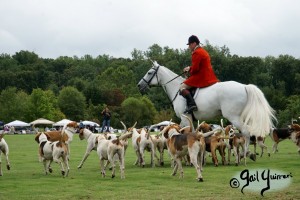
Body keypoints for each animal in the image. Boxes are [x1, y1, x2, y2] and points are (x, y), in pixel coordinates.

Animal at [137, 61, 276, 158]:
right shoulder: (188, 119)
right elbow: (189, 132)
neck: (176, 89)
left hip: (233, 117)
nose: (139, 85)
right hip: (241, 116)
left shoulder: (184, 117)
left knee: (246, 132)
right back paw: (247, 153)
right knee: (246, 132)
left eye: (149, 73)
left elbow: (182, 132)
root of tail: (244, 86)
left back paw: (245, 153)